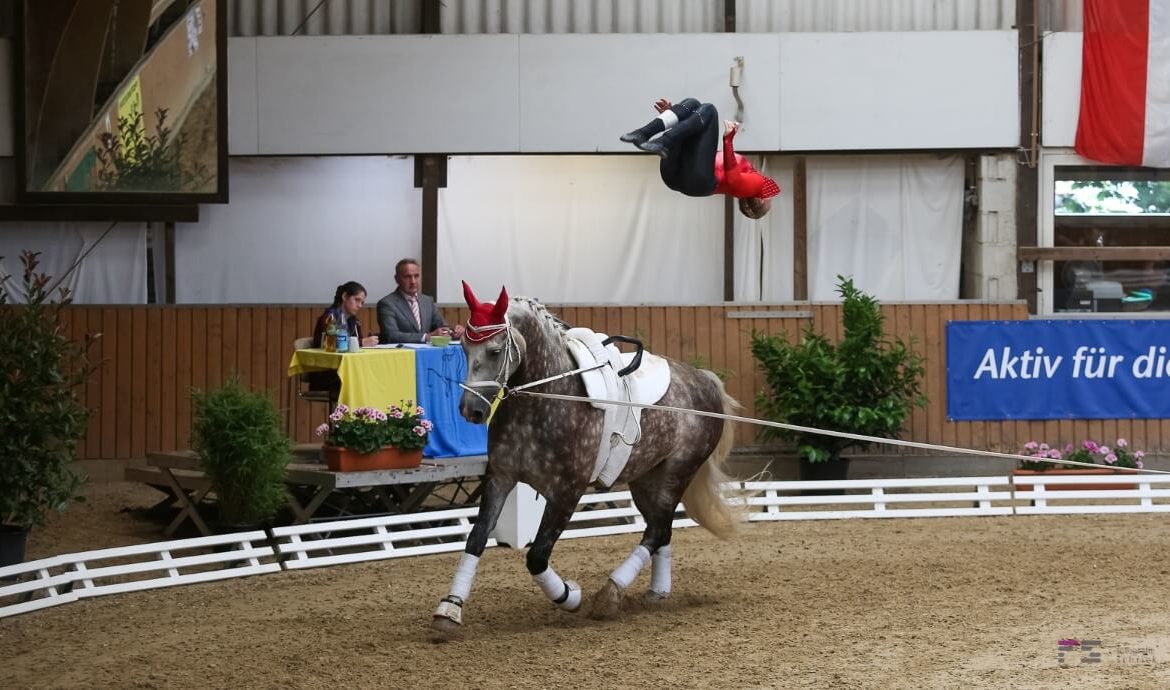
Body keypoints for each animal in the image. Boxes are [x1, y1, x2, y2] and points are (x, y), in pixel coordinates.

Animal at [430, 280, 739, 631]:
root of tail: (705, 379)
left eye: (495, 351)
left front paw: (570, 596)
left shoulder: (567, 491)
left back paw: (610, 594)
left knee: (658, 529)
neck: (546, 397)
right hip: (646, 479)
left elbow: (537, 556)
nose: (471, 411)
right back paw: (657, 592)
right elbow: (477, 537)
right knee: (661, 529)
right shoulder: (500, 477)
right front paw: (449, 609)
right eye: (465, 349)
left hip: (677, 473)